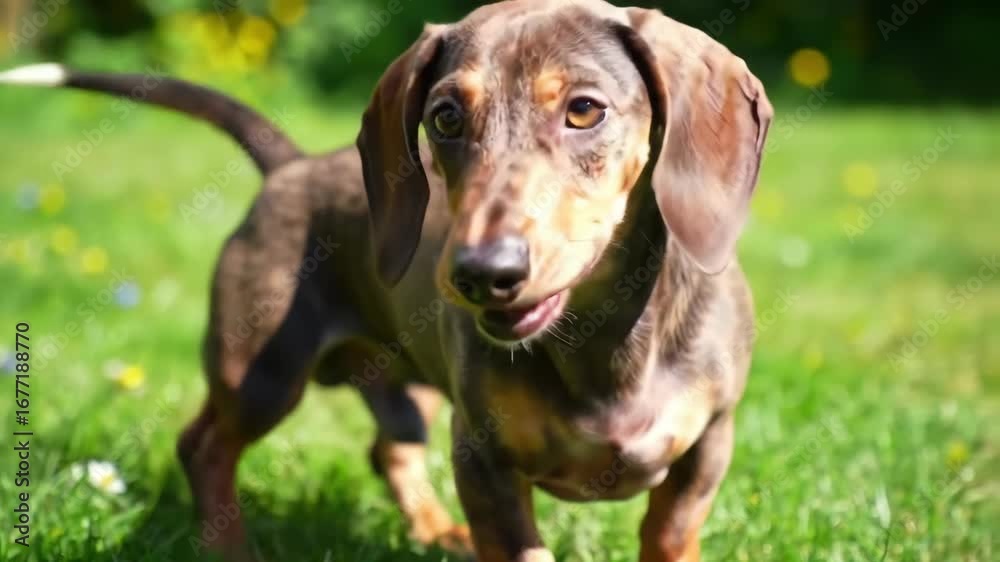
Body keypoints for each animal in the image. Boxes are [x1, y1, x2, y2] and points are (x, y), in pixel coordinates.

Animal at [1, 1, 771, 560]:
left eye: (585, 108)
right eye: (445, 116)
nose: (480, 275)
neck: (603, 341)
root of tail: (291, 166)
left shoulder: (710, 444)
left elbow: (668, 534)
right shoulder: (482, 457)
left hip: (410, 382)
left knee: (387, 446)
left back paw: (435, 531)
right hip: (262, 371)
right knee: (205, 447)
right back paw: (230, 548)